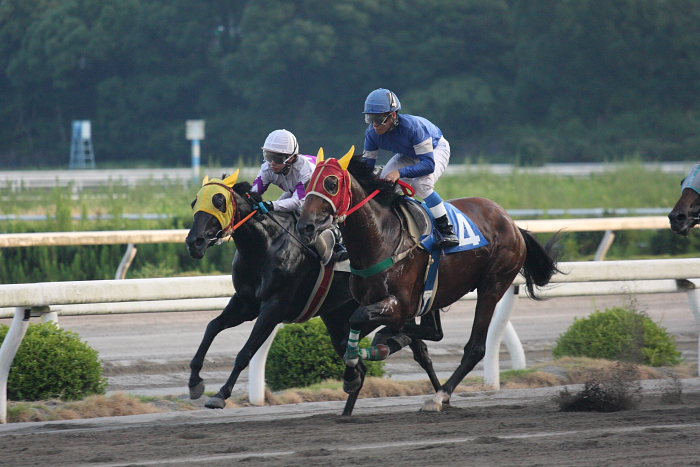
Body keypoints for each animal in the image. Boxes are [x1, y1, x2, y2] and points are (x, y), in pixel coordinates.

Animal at [296, 148, 556, 412]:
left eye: (331, 183)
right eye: (307, 184)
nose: (305, 226)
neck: (381, 238)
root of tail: (512, 223)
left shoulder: (400, 304)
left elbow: (357, 318)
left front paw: (357, 369)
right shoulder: (377, 302)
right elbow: (349, 331)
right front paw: (359, 367)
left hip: (492, 287)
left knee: (475, 348)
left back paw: (439, 396)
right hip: (438, 293)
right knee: (433, 331)